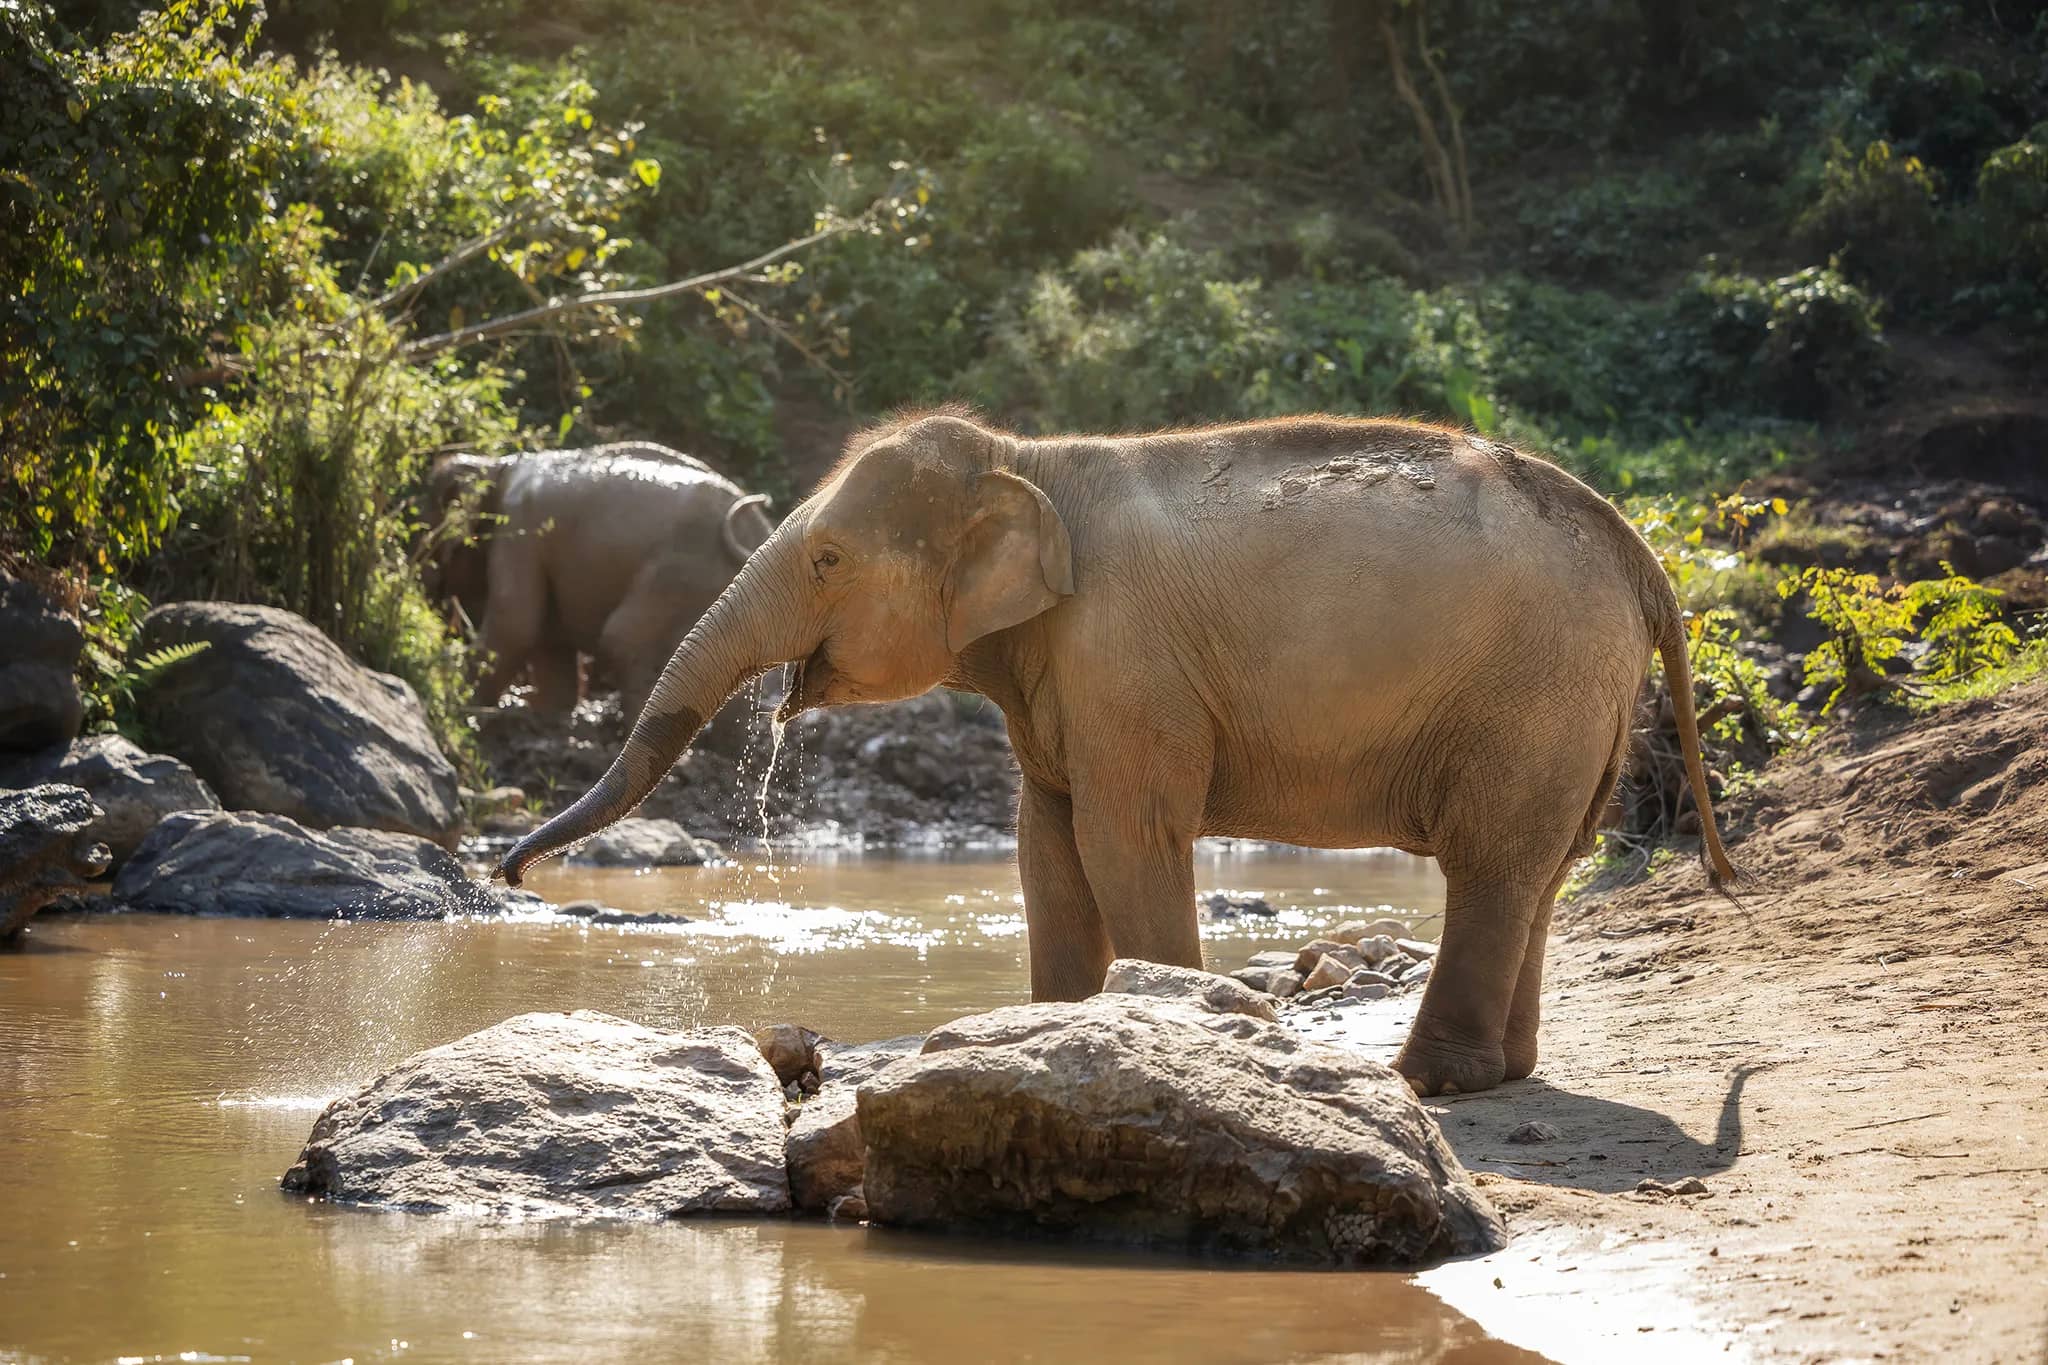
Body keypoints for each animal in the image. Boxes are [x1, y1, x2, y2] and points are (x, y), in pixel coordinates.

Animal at [424, 443, 774, 718]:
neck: (497, 465)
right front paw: (542, 711)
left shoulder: (519, 530)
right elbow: (550, 641)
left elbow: (516, 626)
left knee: (622, 639)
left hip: (678, 574)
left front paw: (463, 707)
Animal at [497, 410, 1735, 1096]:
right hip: (1571, 706)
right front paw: (1041, 1036)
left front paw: (1163, 1027)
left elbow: (1122, 833)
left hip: (1531, 691)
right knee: (1537, 871)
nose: (509, 868)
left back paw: (1430, 1081)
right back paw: (1497, 1073)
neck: (1029, 460)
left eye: (828, 559)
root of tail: (1636, 548)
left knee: (1490, 864)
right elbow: (1043, 840)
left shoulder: (1121, 657)